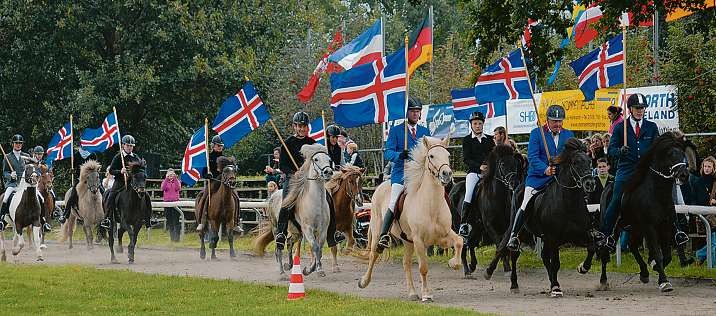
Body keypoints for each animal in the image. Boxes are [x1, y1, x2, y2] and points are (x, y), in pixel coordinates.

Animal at [358, 136, 464, 302]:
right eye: (431, 156)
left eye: (448, 155)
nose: (447, 174)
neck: (430, 205)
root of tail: (382, 185)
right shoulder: (419, 240)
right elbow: (423, 267)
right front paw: (426, 294)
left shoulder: (443, 236)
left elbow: (459, 241)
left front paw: (453, 263)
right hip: (377, 231)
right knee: (373, 254)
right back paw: (364, 281)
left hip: (407, 241)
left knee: (406, 263)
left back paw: (412, 293)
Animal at [486, 139, 600, 296]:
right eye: (575, 162)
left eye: (589, 161)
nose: (590, 183)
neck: (568, 203)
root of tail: (518, 187)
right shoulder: (554, 238)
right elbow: (556, 263)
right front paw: (556, 287)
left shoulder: (580, 234)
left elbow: (592, 248)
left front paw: (582, 267)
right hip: (520, 230)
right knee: (508, 248)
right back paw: (503, 278)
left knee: (543, 257)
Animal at [588, 131, 688, 292]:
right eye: (670, 154)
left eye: (682, 154)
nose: (684, 175)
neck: (656, 193)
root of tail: (608, 186)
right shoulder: (649, 227)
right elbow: (658, 253)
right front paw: (664, 281)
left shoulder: (665, 226)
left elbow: (666, 255)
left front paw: (654, 268)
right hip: (615, 226)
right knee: (604, 249)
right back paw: (603, 280)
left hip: (635, 228)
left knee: (633, 246)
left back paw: (644, 272)